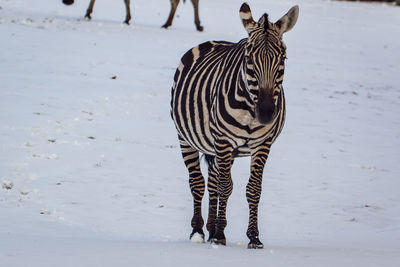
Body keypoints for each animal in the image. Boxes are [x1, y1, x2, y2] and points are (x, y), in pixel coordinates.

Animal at [170, 2, 298, 249]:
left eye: (283, 58)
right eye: (249, 58)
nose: (266, 113)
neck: (250, 110)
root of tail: (212, 41)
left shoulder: (262, 144)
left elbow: (253, 188)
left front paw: (253, 237)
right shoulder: (223, 140)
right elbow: (226, 186)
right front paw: (220, 235)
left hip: (215, 148)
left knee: (212, 183)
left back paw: (210, 228)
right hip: (186, 138)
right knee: (198, 182)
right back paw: (198, 231)